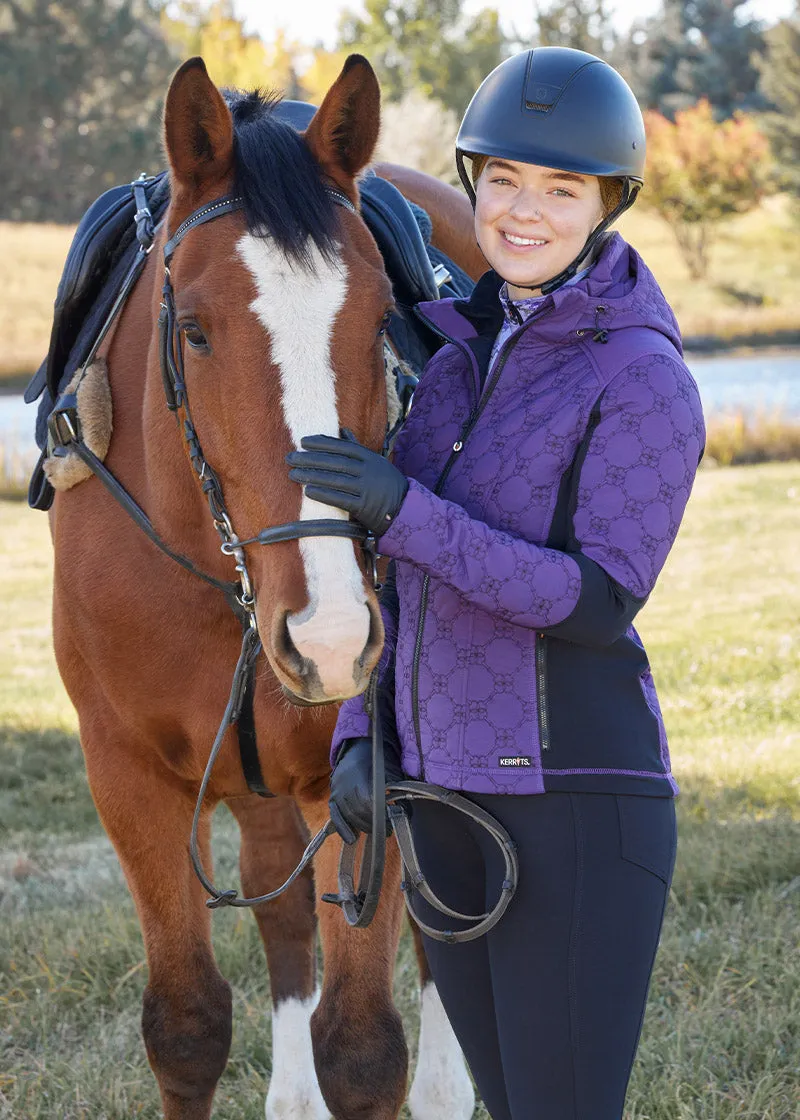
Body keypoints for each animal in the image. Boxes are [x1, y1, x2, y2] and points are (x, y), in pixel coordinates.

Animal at [48, 54, 486, 1120]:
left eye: (377, 325)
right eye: (196, 332)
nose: (329, 638)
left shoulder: (359, 781)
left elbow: (363, 1048)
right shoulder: (126, 775)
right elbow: (187, 1027)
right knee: (280, 906)